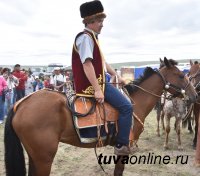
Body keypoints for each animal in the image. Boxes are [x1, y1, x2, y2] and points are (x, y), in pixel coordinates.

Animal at [4, 58, 197, 176]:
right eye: (181, 75)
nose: (195, 95)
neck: (135, 102)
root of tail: (21, 103)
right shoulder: (124, 147)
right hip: (44, 157)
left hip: (35, 156)